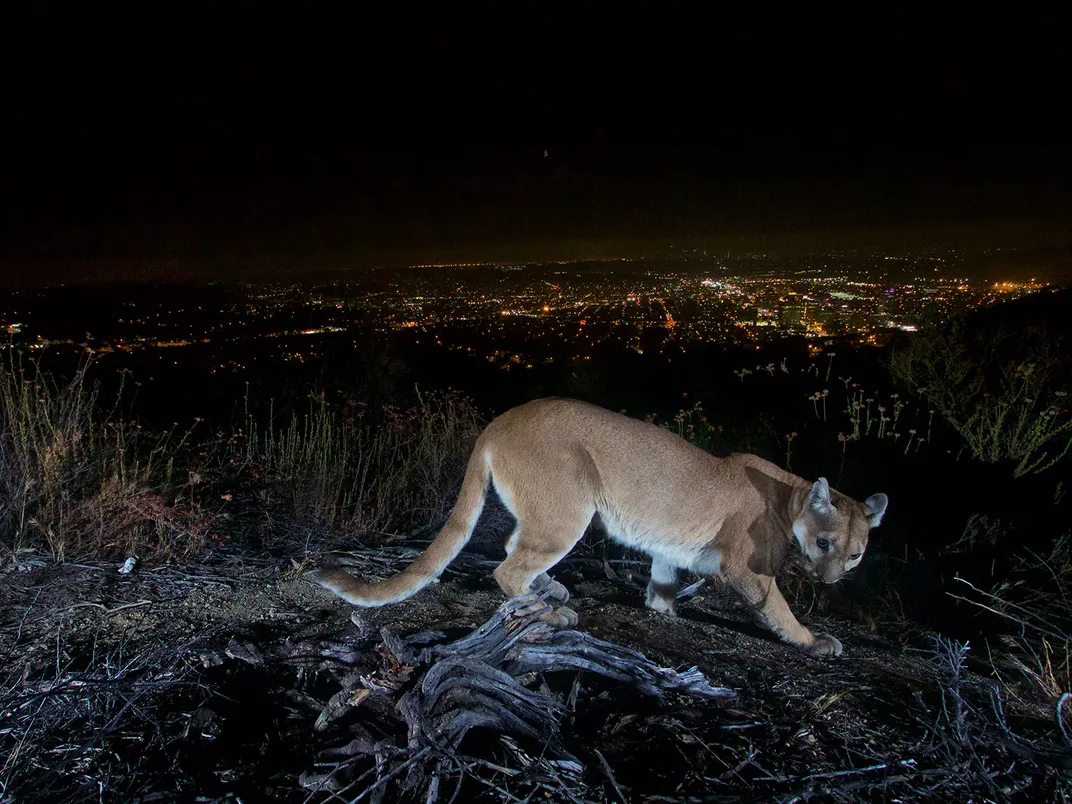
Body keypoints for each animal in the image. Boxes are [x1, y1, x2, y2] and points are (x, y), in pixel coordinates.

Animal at [310, 396, 887, 656]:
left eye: (855, 553)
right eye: (824, 542)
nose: (831, 579)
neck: (790, 496)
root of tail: (499, 420)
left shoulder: (669, 546)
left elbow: (662, 578)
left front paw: (662, 608)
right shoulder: (747, 570)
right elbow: (777, 607)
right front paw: (813, 640)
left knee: (513, 546)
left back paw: (553, 590)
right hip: (570, 509)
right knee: (508, 567)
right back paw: (551, 611)